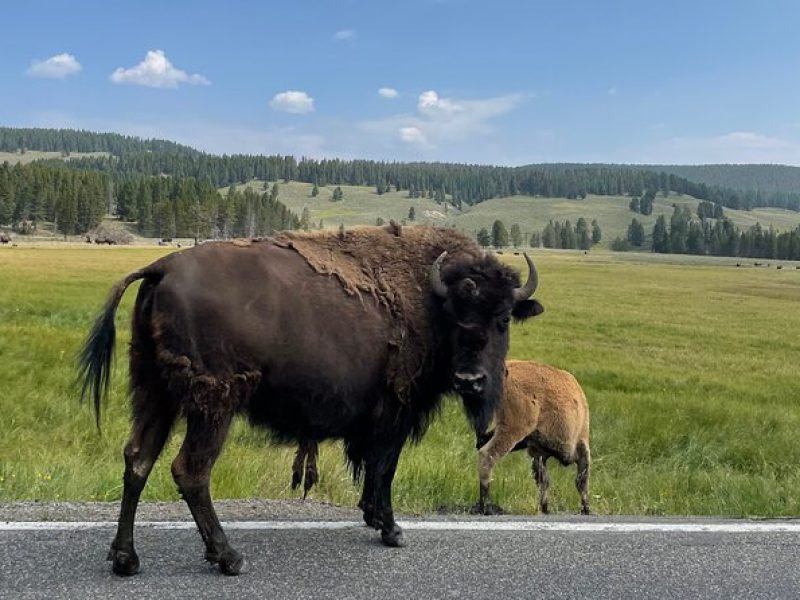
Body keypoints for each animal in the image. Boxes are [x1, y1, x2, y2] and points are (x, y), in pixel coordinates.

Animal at [79, 225, 544, 576]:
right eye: (455, 315)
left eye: (503, 318)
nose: (471, 380)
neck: (429, 297)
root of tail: (161, 268)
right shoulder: (395, 412)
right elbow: (384, 468)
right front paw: (391, 530)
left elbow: (373, 469)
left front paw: (373, 517)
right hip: (214, 404)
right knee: (190, 470)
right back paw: (229, 557)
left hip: (154, 393)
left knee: (137, 459)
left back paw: (126, 559)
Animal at [472, 358, 592, 516]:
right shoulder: (581, 448)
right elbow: (581, 481)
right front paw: (586, 509)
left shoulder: (538, 453)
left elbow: (543, 480)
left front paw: (545, 508)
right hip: (512, 431)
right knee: (487, 455)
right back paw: (486, 508)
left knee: (483, 445)